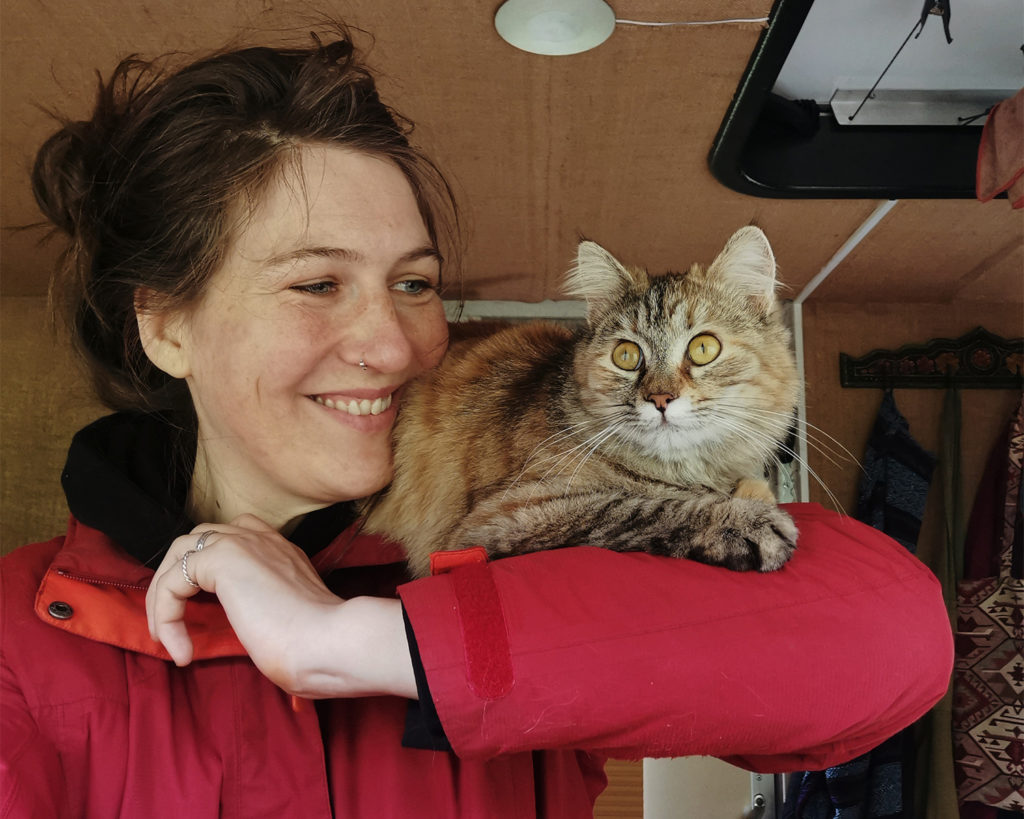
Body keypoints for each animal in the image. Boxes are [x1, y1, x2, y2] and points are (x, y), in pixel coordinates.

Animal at [364, 227, 802, 577]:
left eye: (704, 348)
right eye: (626, 356)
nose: (660, 398)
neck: (687, 470)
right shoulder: (501, 516)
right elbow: (641, 504)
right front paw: (743, 521)